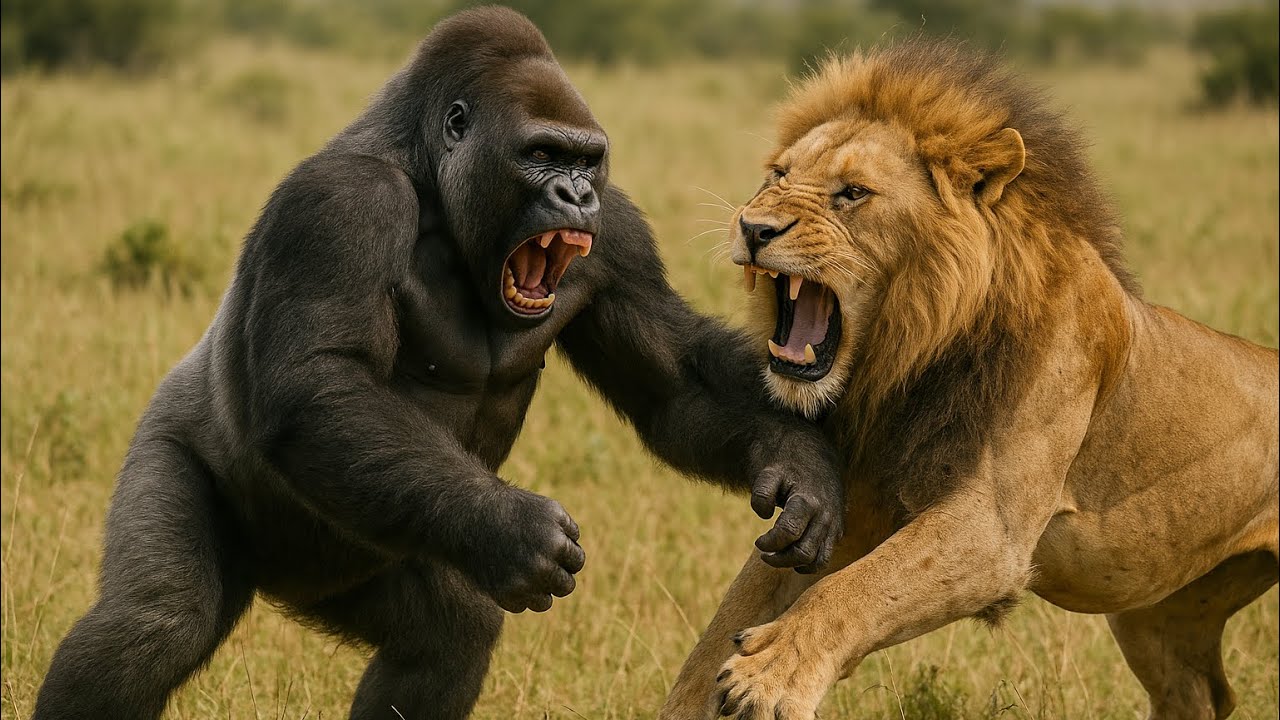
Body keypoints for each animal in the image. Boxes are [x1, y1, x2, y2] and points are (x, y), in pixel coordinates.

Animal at [659, 40, 1279, 720]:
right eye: (777, 175)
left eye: (852, 193)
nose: (753, 228)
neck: (906, 360)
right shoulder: (852, 499)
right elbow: (731, 617)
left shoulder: (991, 530)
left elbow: (857, 590)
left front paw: (768, 676)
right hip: (1160, 617)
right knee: (1200, 693)